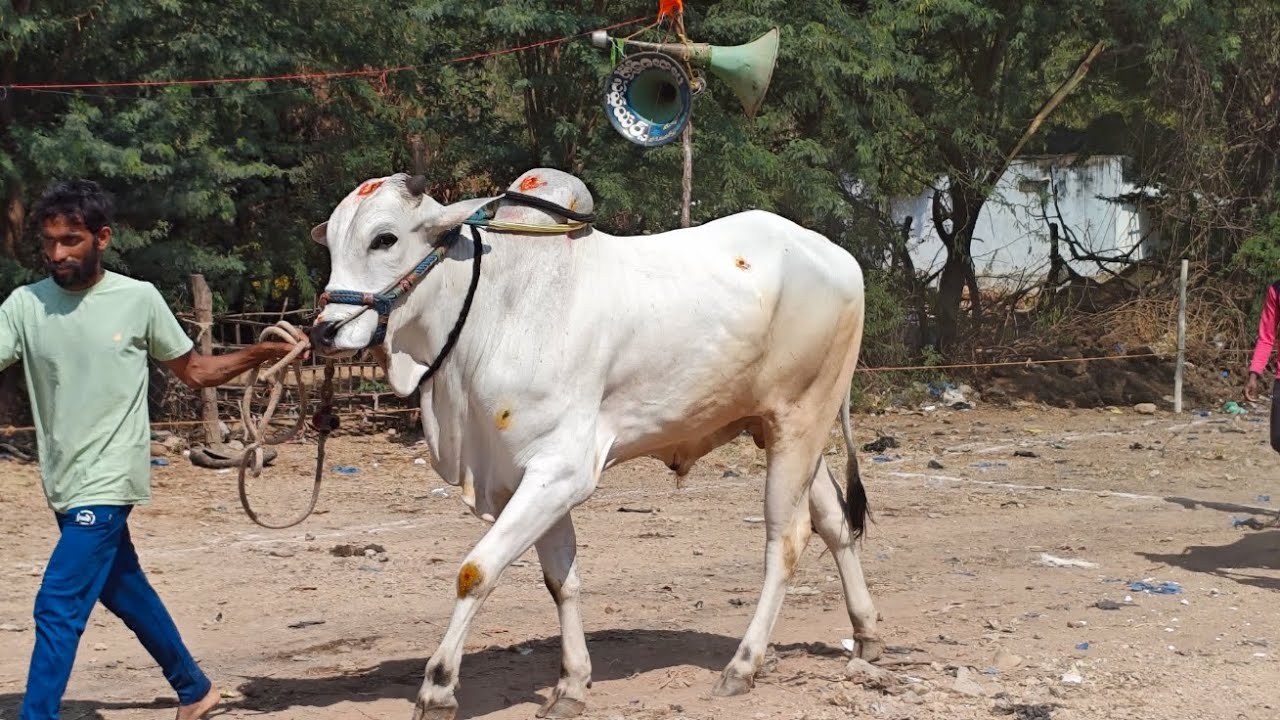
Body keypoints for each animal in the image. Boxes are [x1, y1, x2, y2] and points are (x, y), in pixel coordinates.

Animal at [307, 169, 882, 720]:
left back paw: (743, 665)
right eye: (331, 244)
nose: (324, 332)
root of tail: (841, 258)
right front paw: (572, 685)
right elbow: (561, 581)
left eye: (385, 238)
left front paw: (439, 687)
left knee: (785, 540)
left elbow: (476, 571)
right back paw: (866, 634)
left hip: (800, 421)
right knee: (834, 522)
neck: (491, 309)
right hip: (782, 427)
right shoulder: (525, 477)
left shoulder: (561, 471)